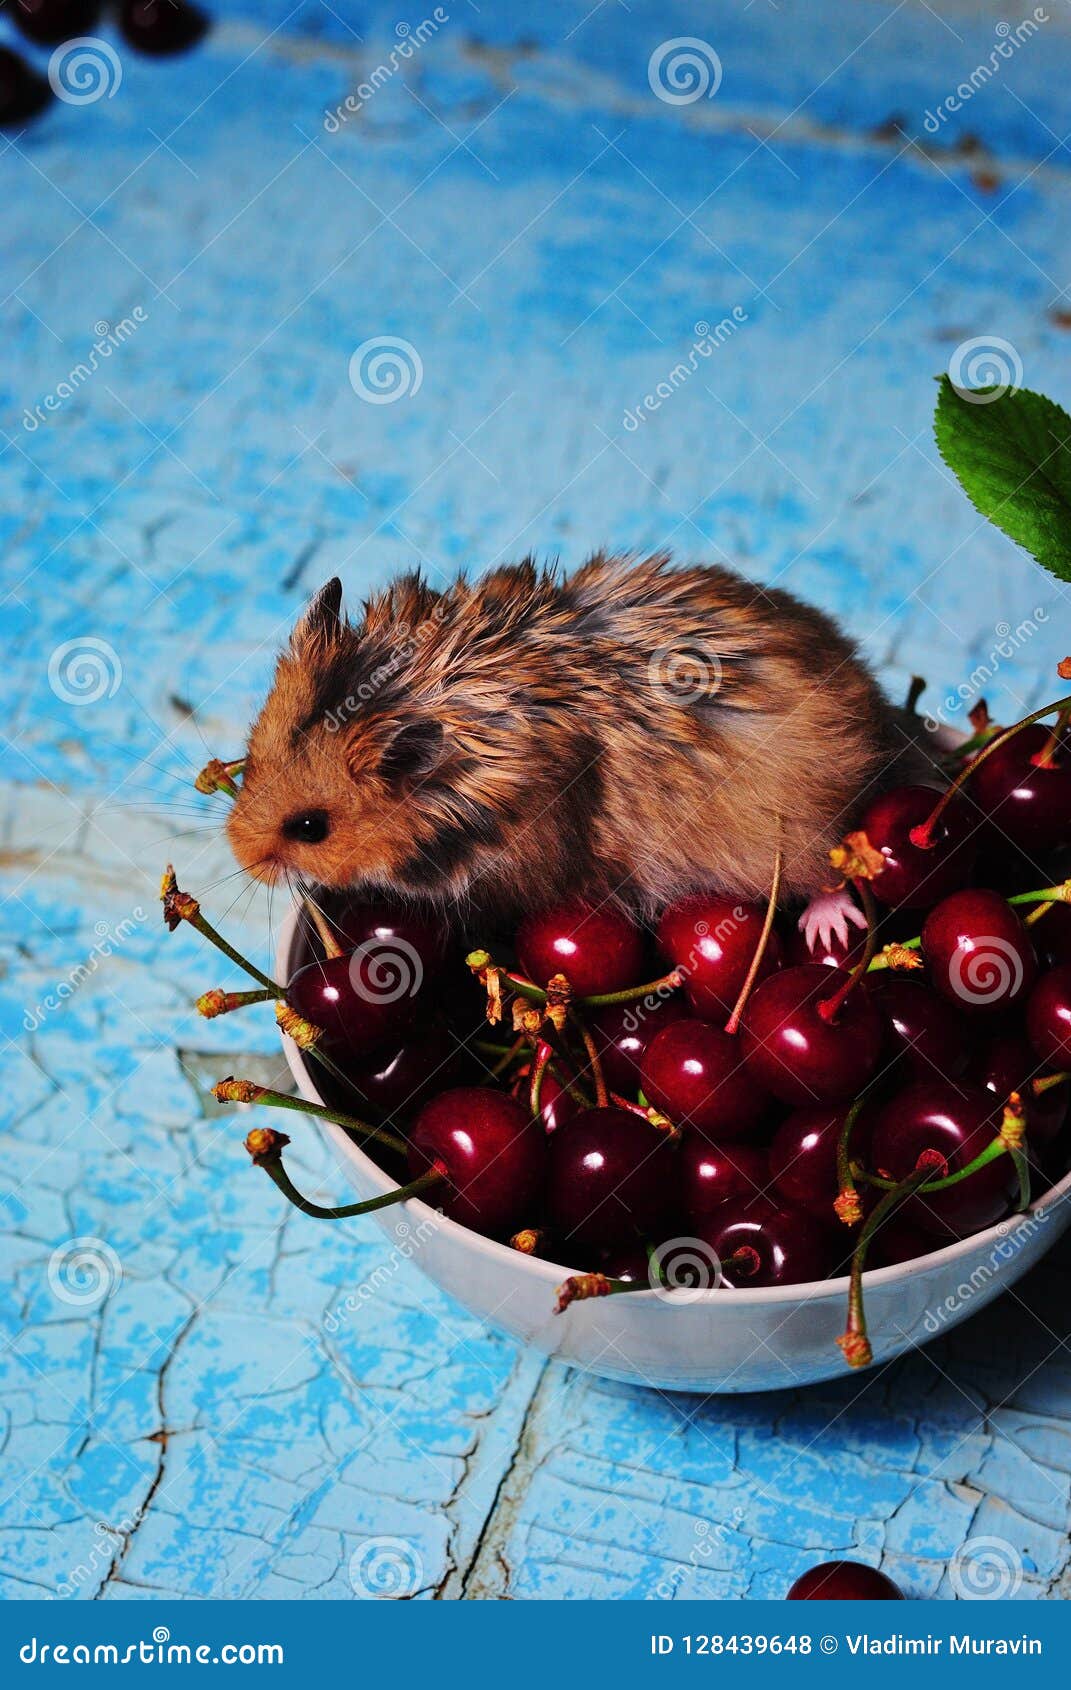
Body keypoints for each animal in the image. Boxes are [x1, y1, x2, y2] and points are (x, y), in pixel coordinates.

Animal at [226, 554, 912, 934]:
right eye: (251, 762)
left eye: (310, 828)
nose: (240, 859)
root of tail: (872, 703)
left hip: (789, 835)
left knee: (825, 874)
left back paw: (830, 925)